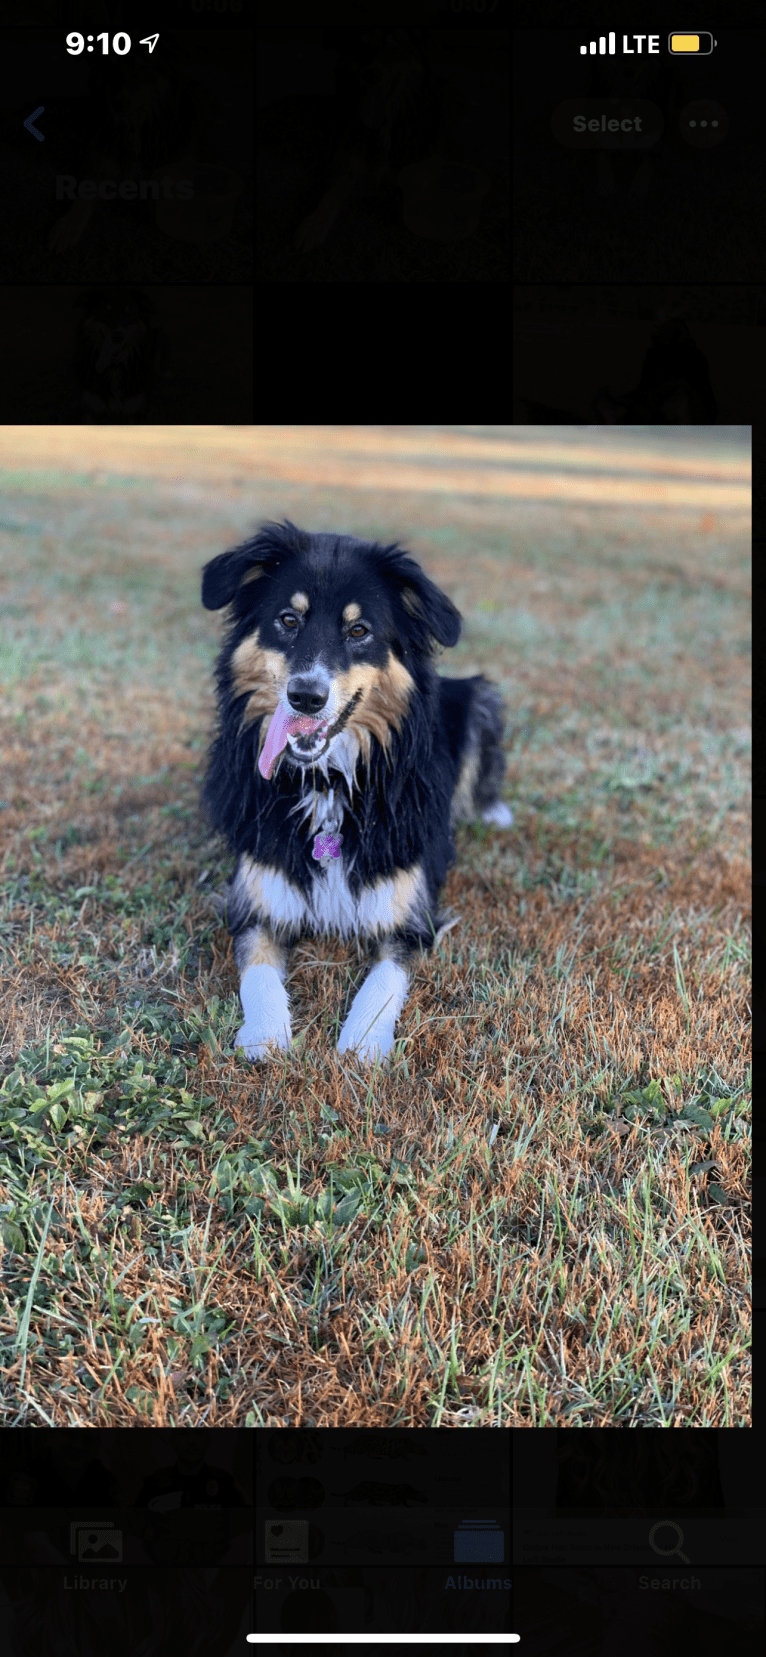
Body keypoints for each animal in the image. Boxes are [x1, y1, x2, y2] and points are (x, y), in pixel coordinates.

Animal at [200, 520, 510, 1060]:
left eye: (359, 630)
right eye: (288, 620)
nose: (305, 696)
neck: (327, 783)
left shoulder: (410, 913)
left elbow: (384, 980)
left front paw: (362, 1041)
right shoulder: (256, 901)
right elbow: (257, 972)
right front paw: (265, 1032)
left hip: (481, 697)